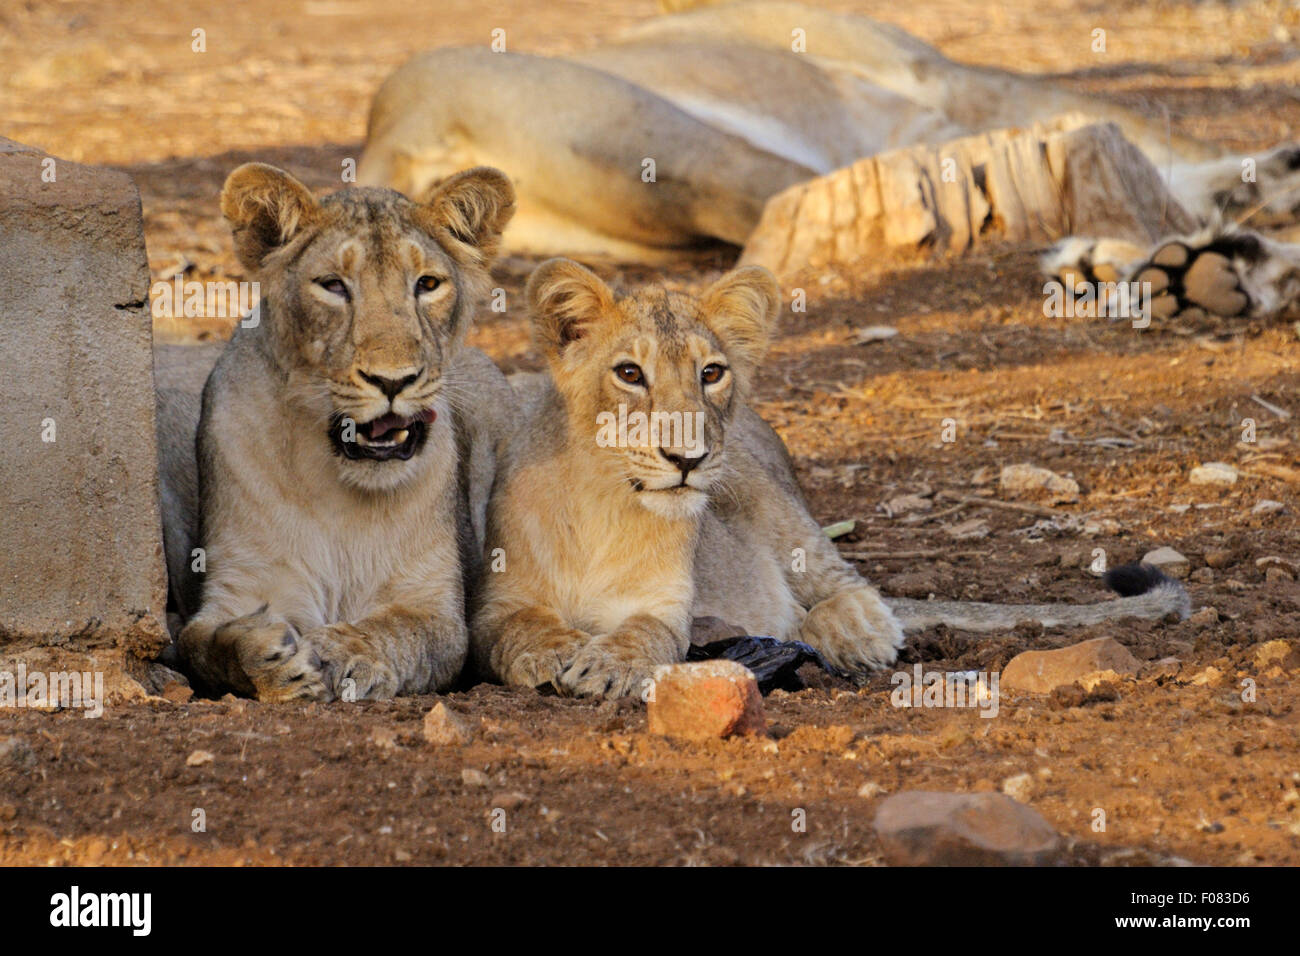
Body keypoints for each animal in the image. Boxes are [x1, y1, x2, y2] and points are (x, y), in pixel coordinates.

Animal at [156, 162, 517, 701]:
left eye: (427, 283)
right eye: (333, 285)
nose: (393, 381)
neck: (341, 488)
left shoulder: (435, 609)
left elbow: (398, 631)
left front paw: (338, 650)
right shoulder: (240, 585)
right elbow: (206, 644)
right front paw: (266, 655)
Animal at [471, 260, 1189, 698]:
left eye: (711, 373)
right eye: (628, 373)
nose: (688, 458)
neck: (607, 502)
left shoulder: (663, 604)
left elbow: (645, 634)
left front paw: (606, 663)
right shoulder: (497, 601)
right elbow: (518, 628)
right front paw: (551, 653)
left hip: (775, 507)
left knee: (853, 588)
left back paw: (842, 633)